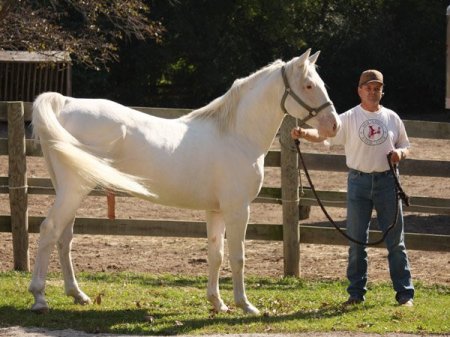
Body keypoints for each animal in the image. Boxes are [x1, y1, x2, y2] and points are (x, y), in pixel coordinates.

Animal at [29, 48, 338, 314]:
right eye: (308, 86)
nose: (333, 125)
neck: (236, 135)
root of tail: (66, 103)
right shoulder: (238, 209)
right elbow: (237, 257)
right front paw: (245, 305)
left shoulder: (215, 210)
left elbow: (216, 254)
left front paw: (217, 303)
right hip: (74, 189)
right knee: (49, 230)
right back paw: (39, 297)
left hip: (69, 190)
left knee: (64, 237)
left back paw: (77, 294)